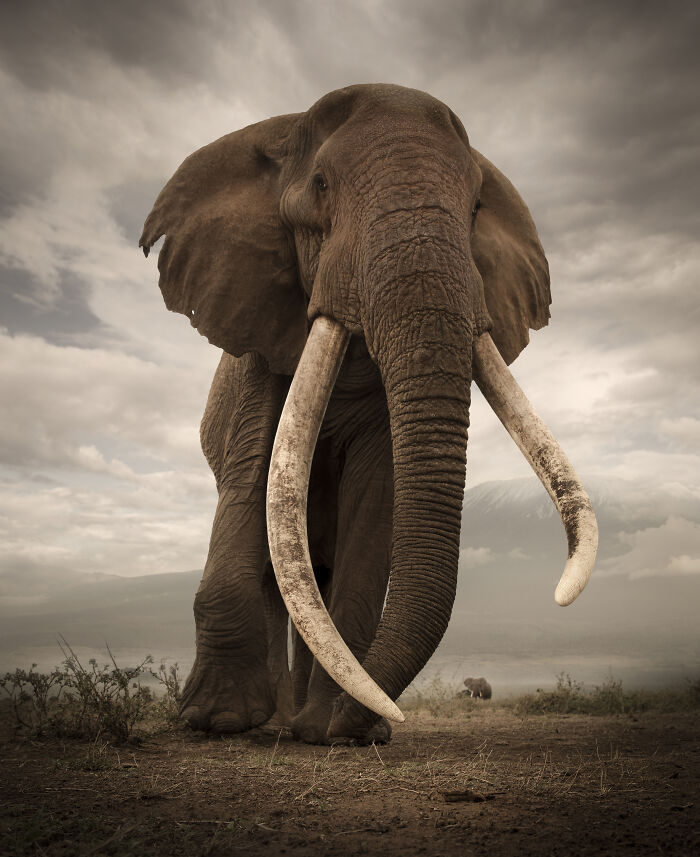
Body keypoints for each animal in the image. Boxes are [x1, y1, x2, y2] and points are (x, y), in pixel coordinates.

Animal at [140, 84, 597, 745]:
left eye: (476, 206)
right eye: (322, 186)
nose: (372, 722)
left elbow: (373, 496)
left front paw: (342, 732)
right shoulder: (258, 336)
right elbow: (252, 475)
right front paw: (216, 721)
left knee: (317, 579)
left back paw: (299, 723)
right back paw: (270, 722)